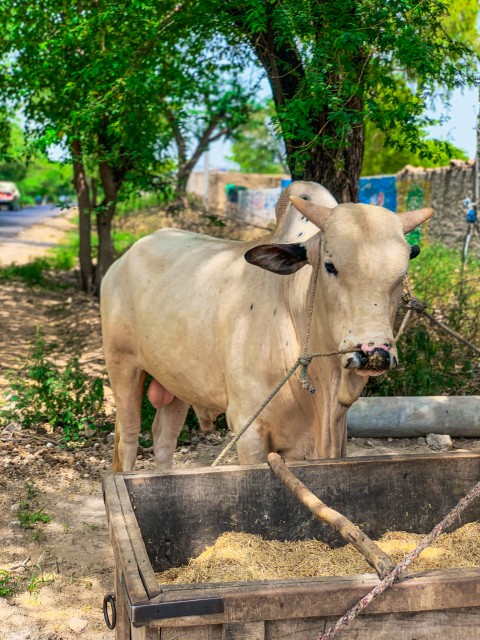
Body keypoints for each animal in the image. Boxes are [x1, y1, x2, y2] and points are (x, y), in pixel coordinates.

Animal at [100, 181, 431, 471]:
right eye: (330, 266)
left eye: (402, 274)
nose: (374, 353)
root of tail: (121, 262)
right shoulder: (248, 429)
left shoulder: (334, 434)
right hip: (123, 365)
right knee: (129, 437)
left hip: (176, 382)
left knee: (164, 437)